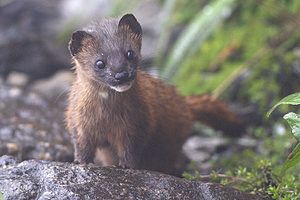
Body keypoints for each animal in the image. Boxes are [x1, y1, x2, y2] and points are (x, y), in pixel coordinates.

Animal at [66, 13, 244, 173]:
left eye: (130, 53)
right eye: (100, 63)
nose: (122, 75)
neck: (107, 117)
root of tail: (185, 104)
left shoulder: (138, 122)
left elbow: (131, 147)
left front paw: (126, 166)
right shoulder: (78, 122)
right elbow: (82, 145)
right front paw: (81, 162)